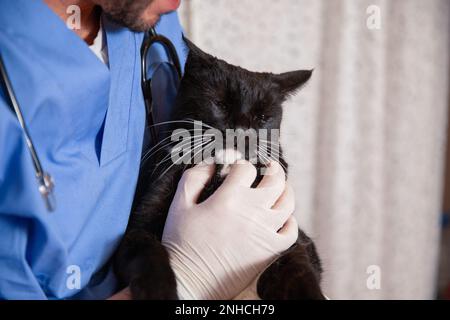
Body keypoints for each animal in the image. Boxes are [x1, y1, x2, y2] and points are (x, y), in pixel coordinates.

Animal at [112, 39, 324, 300]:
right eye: (221, 104)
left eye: (262, 117)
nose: (241, 131)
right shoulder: (137, 229)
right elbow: (147, 252)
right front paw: (160, 292)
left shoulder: (285, 238)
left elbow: (298, 267)